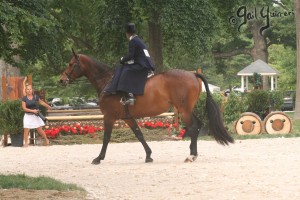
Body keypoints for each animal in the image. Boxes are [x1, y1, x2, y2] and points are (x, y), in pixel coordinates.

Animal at [59, 50, 234, 164]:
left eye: (71, 64)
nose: (61, 80)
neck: (107, 81)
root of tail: (192, 73)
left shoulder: (109, 116)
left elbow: (106, 137)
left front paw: (98, 158)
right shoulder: (127, 117)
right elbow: (139, 134)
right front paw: (148, 155)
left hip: (184, 110)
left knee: (194, 127)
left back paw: (191, 155)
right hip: (187, 109)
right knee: (197, 126)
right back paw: (192, 154)